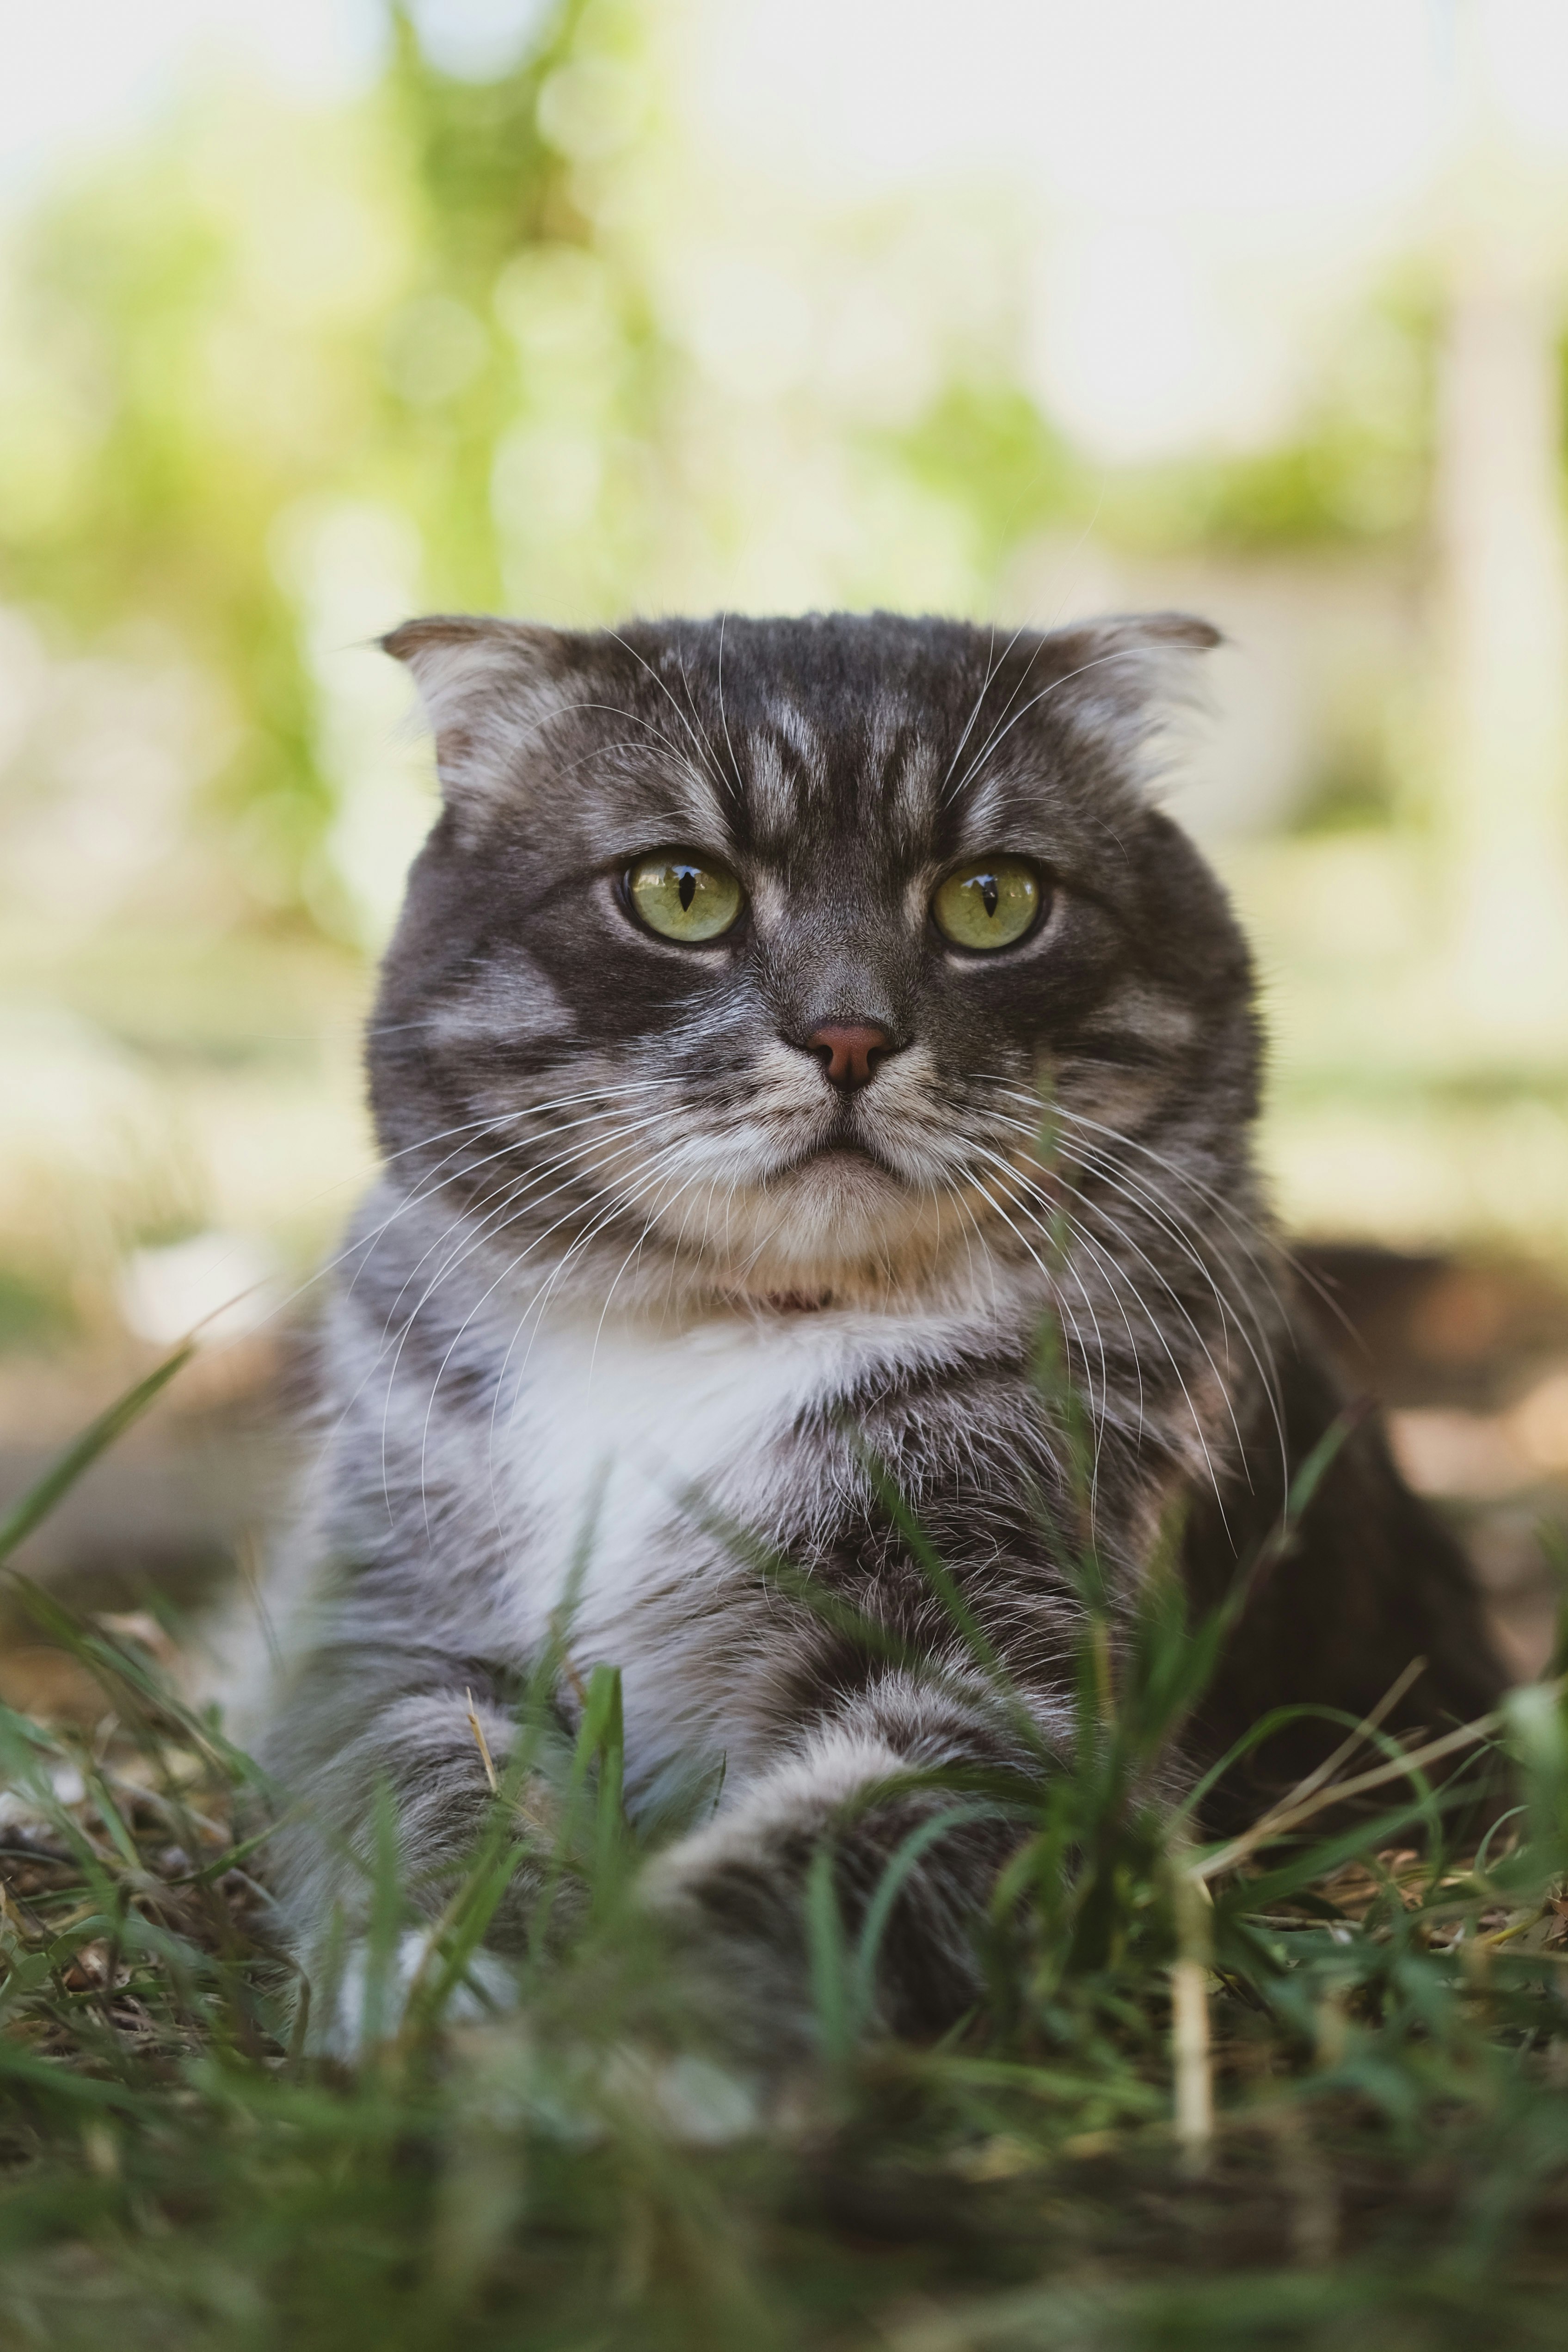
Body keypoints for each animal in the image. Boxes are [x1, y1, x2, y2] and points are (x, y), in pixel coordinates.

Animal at [261, 607, 1504, 2060]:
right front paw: (444, 1971)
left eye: (991, 899)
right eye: (680, 890)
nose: (847, 1033)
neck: (720, 1338)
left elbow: (821, 1860)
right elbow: (425, 1792)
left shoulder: (1009, 1678)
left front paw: (615, 2036)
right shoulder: (394, 1631)